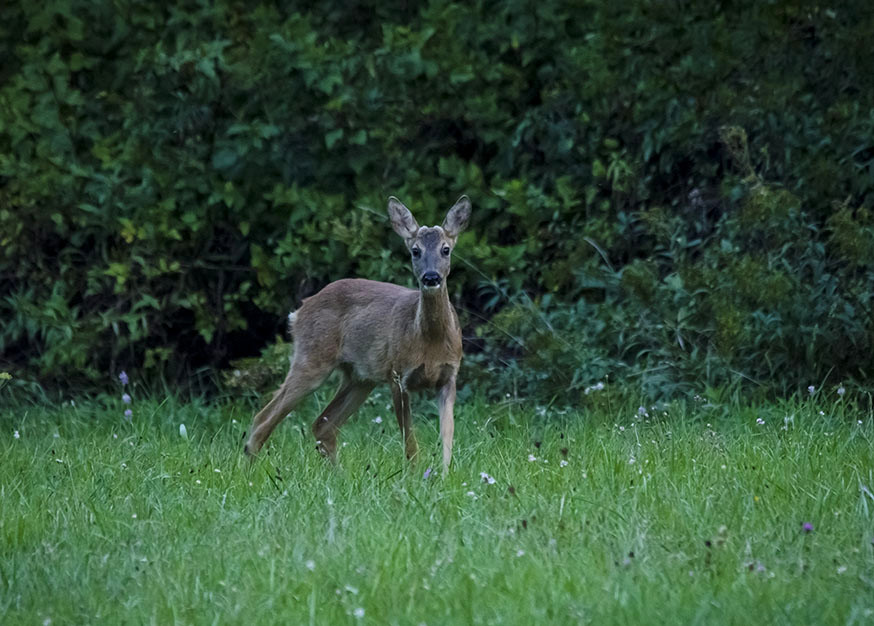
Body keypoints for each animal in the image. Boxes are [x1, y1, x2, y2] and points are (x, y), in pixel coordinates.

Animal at [242, 195, 474, 472]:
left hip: (360, 377)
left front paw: (444, 474)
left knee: (322, 424)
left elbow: (447, 434)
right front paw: (417, 474)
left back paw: (338, 474)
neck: (430, 343)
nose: (431, 277)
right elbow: (410, 440)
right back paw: (249, 470)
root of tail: (299, 311)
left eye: (445, 249)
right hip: (312, 359)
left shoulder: (449, 376)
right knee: (263, 417)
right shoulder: (397, 375)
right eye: (415, 251)